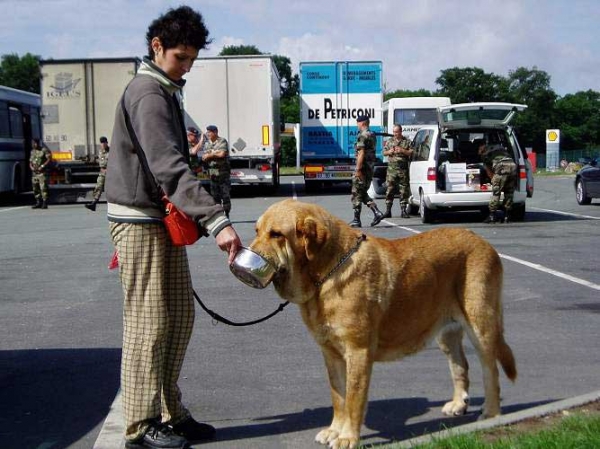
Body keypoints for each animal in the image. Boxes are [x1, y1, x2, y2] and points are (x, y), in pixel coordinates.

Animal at [248, 200, 516, 448]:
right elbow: (338, 397)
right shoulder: (331, 354)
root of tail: (483, 241)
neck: (326, 274)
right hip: (446, 334)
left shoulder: (358, 352)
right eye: (257, 231)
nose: (250, 254)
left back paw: (490, 414)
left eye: (277, 234)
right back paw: (458, 404)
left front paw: (347, 437)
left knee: (490, 370)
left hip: (481, 326)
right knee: (461, 365)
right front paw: (334, 430)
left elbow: (353, 399)